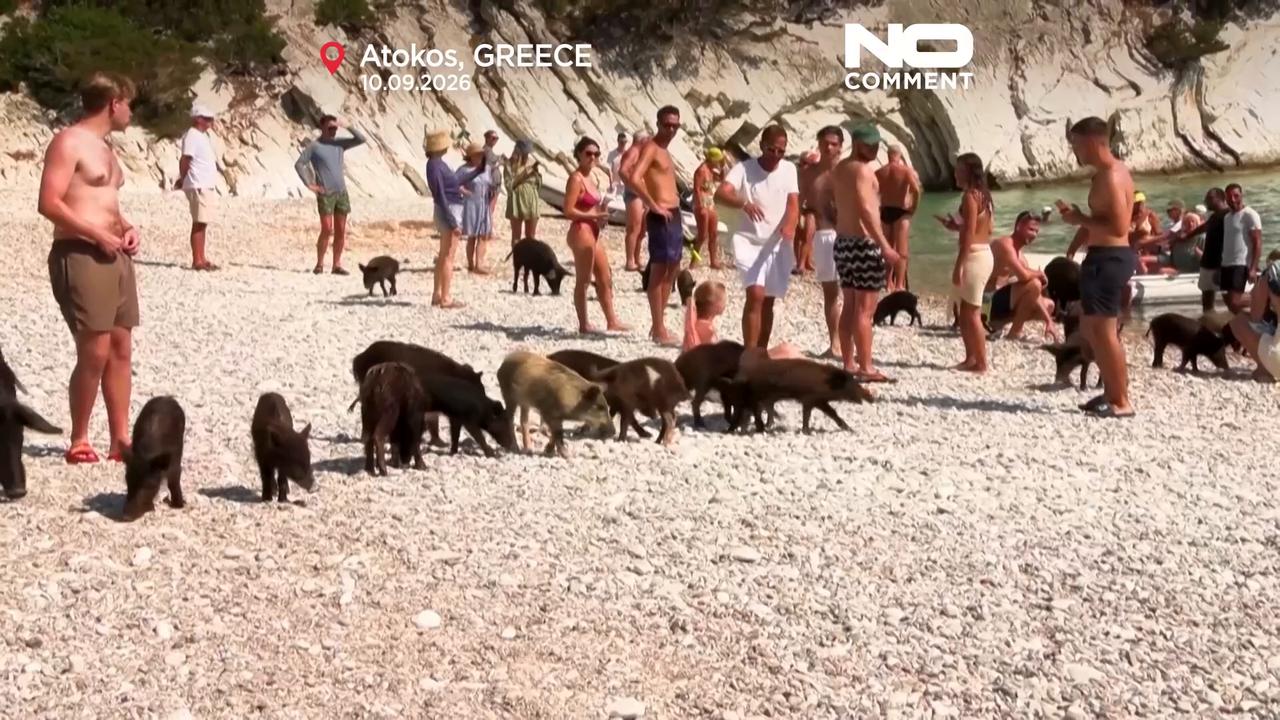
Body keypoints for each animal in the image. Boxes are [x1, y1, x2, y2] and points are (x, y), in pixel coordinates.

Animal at [727, 358, 874, 434]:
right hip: (756, 396)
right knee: (747, 411)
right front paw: (807, 431)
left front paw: (850, 429)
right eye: (852, 383)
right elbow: (808, 415)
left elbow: (832, 413)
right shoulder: (810, 399)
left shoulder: (818, 401)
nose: (871, 397)